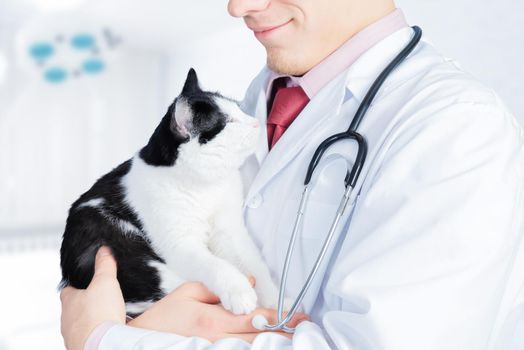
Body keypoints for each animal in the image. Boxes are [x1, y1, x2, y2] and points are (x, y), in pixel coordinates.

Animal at [59, 67, 280, 314]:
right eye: (228, 122)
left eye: (239, 108)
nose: (256, 123)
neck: (206, 185)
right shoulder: (180, 244)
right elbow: (217, 265)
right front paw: (239, 291)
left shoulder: (230, 230)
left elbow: (253, 263)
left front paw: (274, 299)